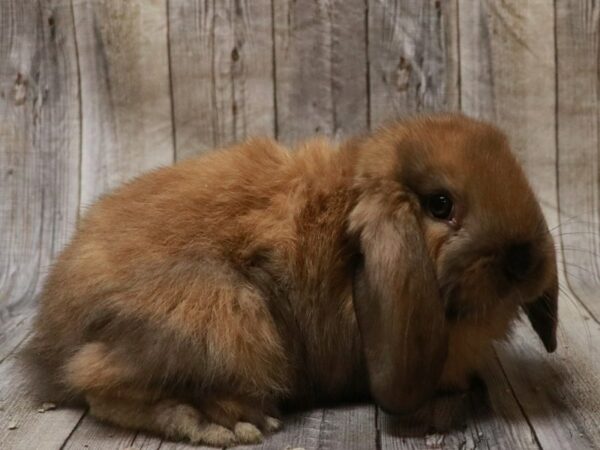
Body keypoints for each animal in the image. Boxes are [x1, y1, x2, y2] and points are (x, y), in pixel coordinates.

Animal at [23, 113, 556, 446]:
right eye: (440, 204)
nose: (524, 259)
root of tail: (52, 334)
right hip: (223, 310)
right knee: (96, 384)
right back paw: (222, 421)